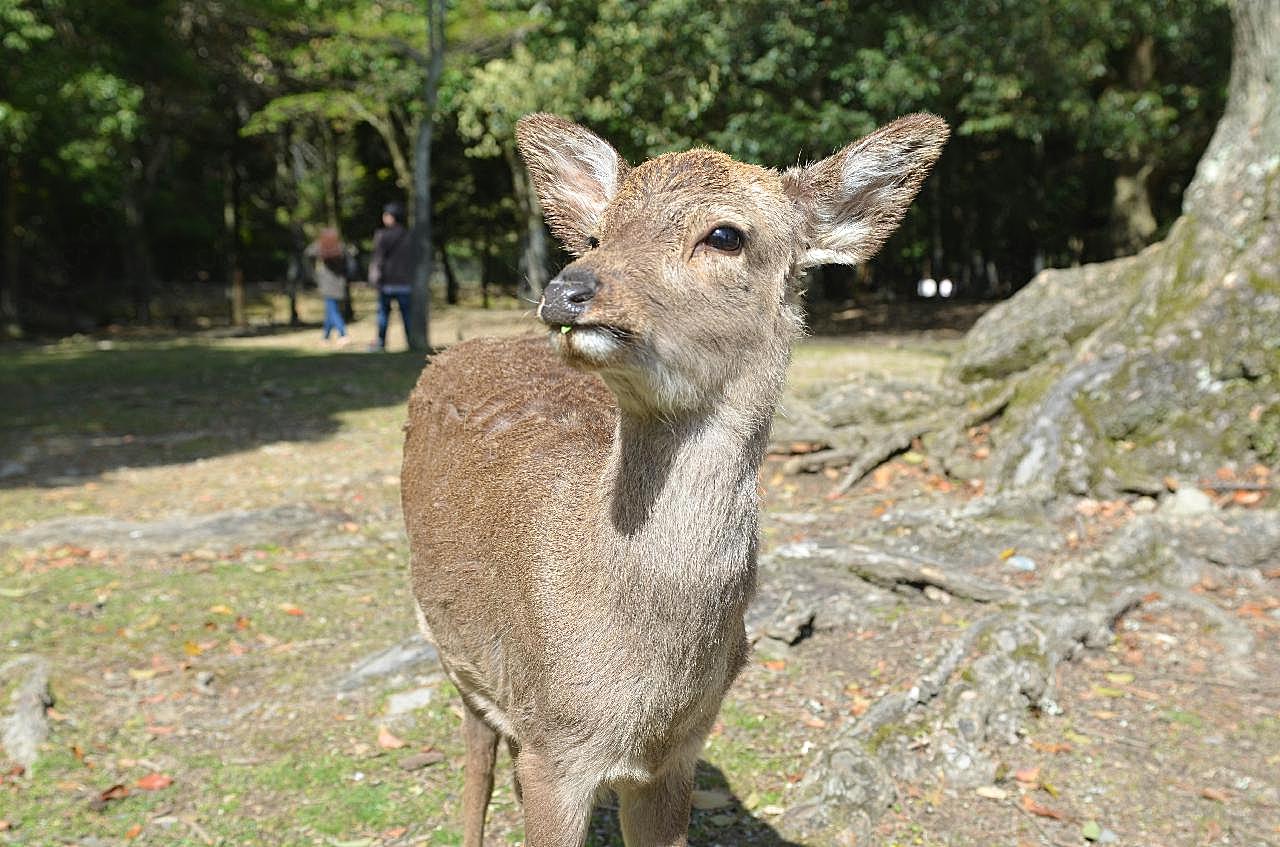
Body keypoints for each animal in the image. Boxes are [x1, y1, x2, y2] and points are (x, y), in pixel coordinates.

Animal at [399, 114, 952, 847]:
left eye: (725, 235)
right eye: (600, 233)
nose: (567, 289)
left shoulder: (677, 751)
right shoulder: (554, 744)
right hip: (452, 648)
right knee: (476, 760)